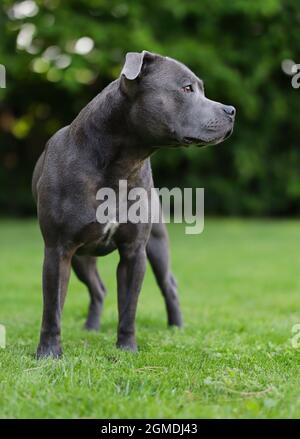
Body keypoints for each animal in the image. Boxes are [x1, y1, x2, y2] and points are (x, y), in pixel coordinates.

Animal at [32, 49, 234, 360]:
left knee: (169, 284)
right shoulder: (58, 250)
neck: (121, 164)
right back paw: (91, 327)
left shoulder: (134, 251)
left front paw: (127, 347)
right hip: (80, 258)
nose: (231, 110)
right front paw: (48, 353)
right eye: (186, 89)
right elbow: (52, 307)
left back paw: (177, 326)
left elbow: (129, 306)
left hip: (158, 244)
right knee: (98, 289)